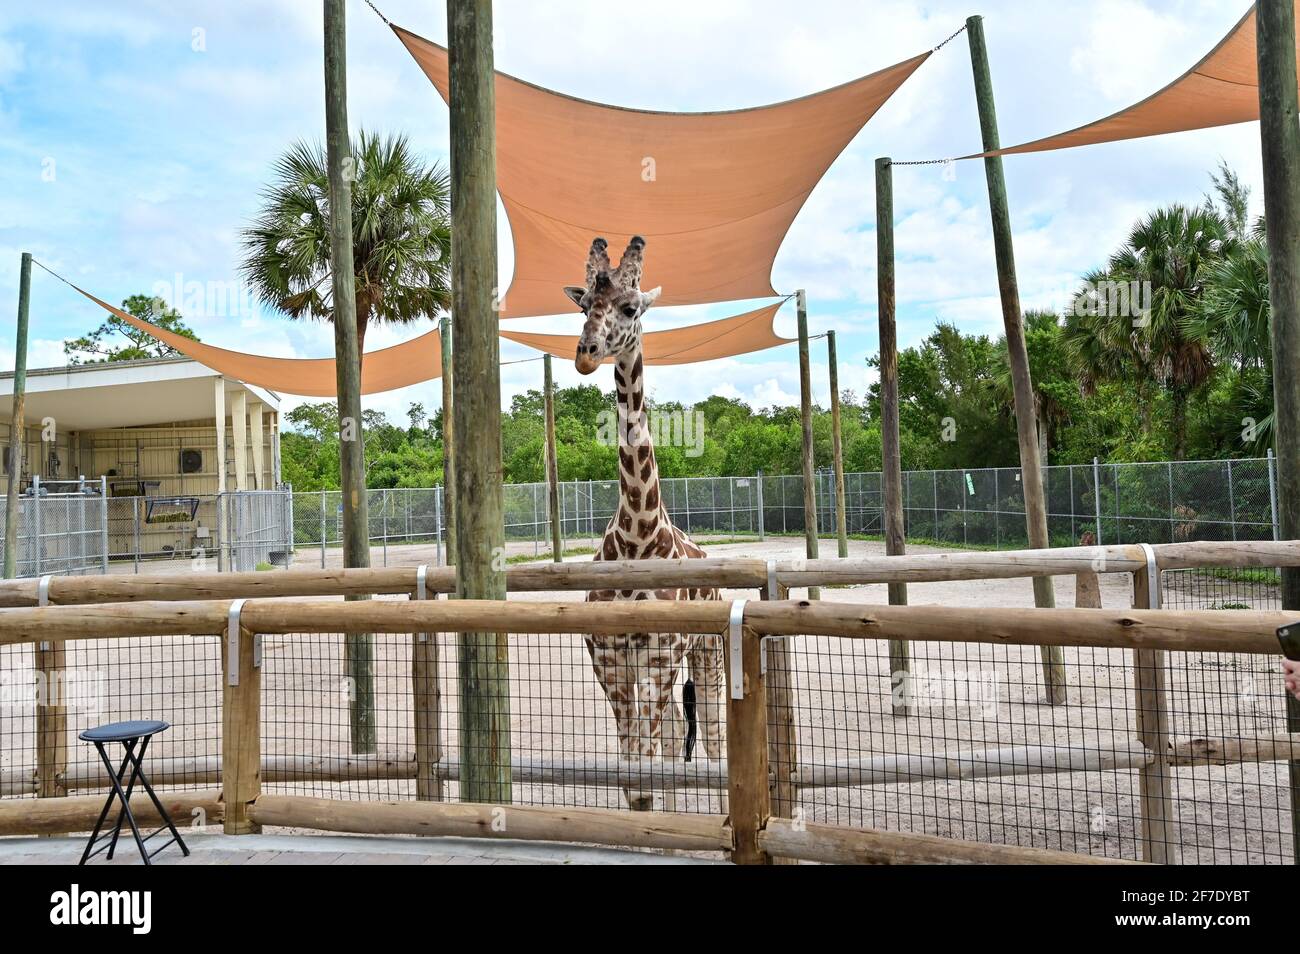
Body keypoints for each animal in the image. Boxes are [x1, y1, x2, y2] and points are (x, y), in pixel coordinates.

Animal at [561, 235, 728, 811]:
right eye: (584, 306)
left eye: (631, 307)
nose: (585, 354)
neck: (637, 537)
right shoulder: (609, 661)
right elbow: (634, 776)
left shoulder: (659, 655)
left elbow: (651, 761)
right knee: (677, 733)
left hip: (707, 654)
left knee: (712, 742)